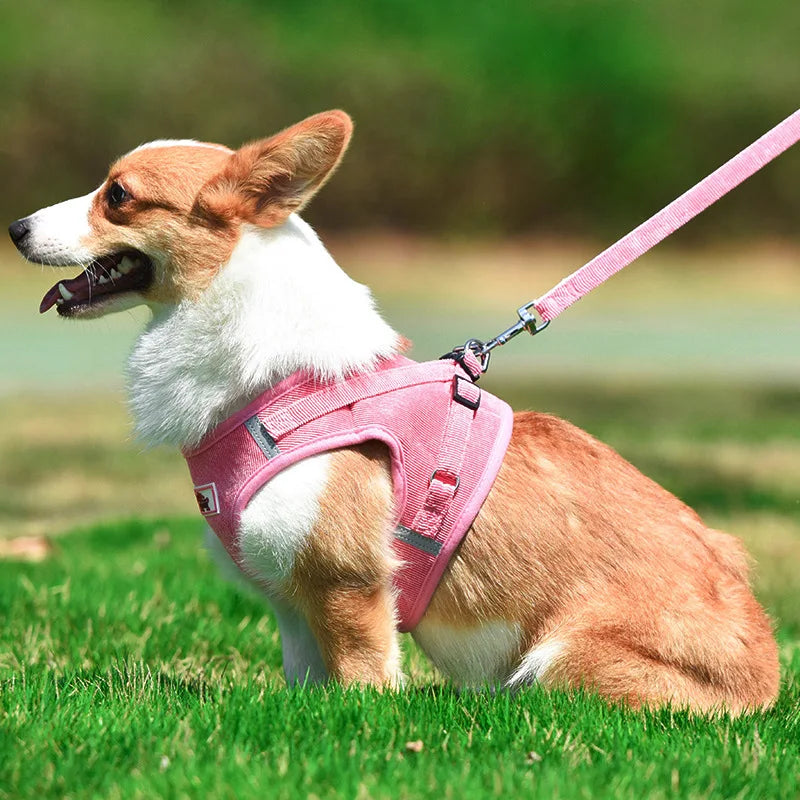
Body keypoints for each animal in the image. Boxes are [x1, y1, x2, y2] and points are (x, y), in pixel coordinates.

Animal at [9, 108, 780, 712]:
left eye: (118, 196)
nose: (15, 226)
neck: (271, 384)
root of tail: (769, 670)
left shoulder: (348, 586)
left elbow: (363, 679)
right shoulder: (293, 605)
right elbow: (304, 677)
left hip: (557, 659)